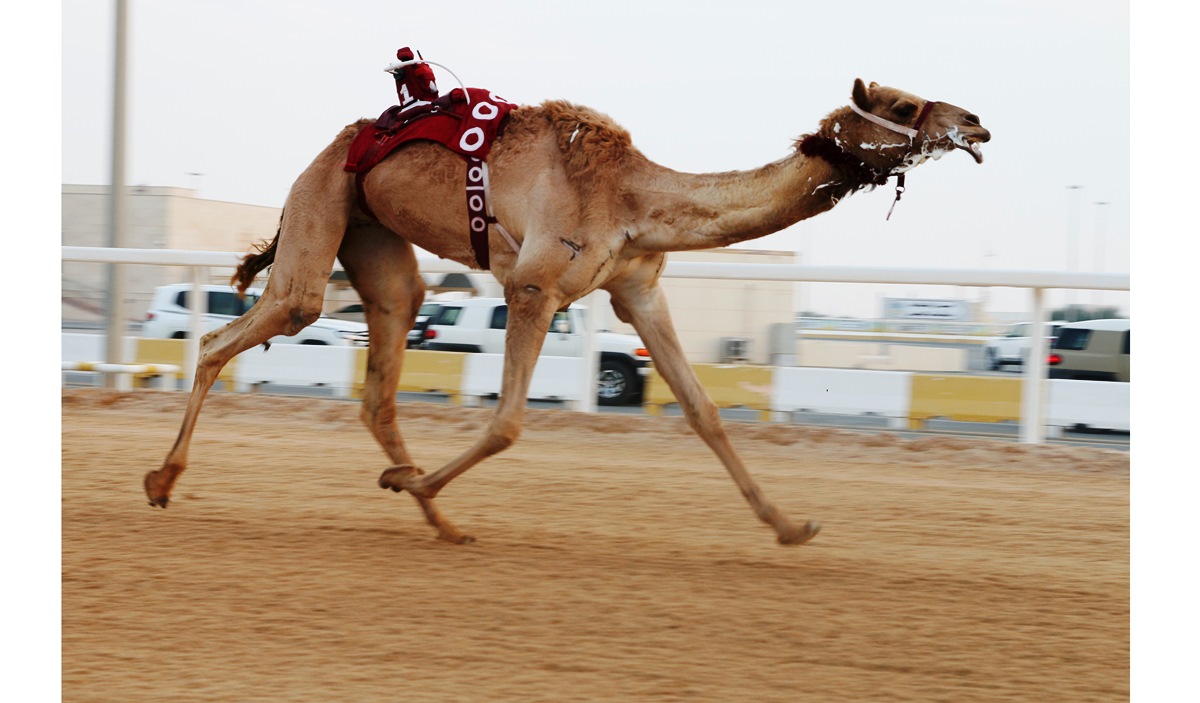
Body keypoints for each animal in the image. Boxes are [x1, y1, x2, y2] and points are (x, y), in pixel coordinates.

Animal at [142, 77, 984, 547]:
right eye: (905, 104)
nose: (977, 123)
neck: (636, 197)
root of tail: (337, 144)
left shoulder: (639, 288)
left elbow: (705, 412)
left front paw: (790, 525)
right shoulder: (535, 285)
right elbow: (509, 420)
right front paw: (411, 485)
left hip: (375, 244)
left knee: (381, 374)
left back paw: (442, 521)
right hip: (319, 209)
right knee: (232, 332)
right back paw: (160, 481)